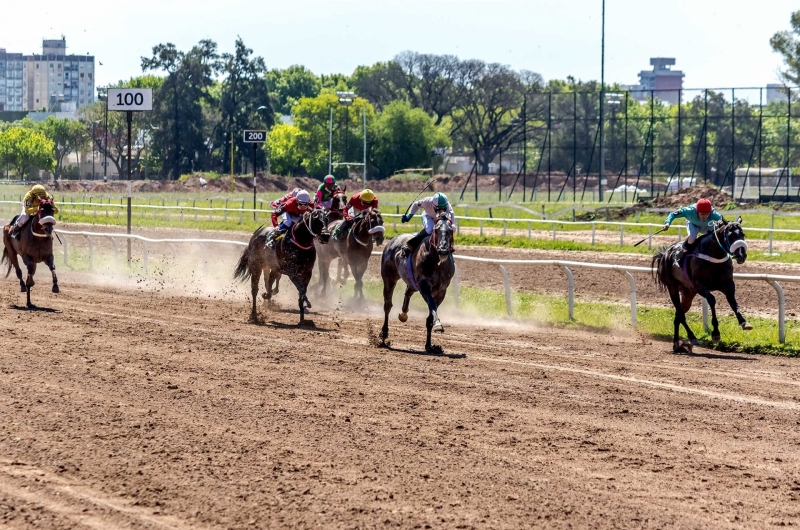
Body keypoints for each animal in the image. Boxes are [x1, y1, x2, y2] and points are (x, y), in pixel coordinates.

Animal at [380, 209, 454, 350]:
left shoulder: (441, 291)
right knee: (387, 305)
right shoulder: (424, 286)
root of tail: (393, 240)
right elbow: (432, 305)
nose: (443, 250)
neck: (436, 262)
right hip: (389, 278)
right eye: (436, 230)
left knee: (408, 292)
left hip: (412, 282)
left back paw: (403, 314)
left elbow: (431, 314)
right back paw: (384, 334)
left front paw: (429, 345)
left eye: (451, 230)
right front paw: (438, 325)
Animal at [652, 214, 752, 350]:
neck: (714, 256)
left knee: (678, 315)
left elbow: (733, 301)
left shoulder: (728, 284)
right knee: (680, 314)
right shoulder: (699, 285)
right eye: (730, 235)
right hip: (672, 287)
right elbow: (712, 300)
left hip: (688, 292)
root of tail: (664, 254)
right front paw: (715, 333)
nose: (741, 255)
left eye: (742, 234)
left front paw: (744, 322)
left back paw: (680, 342)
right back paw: (686, 339)